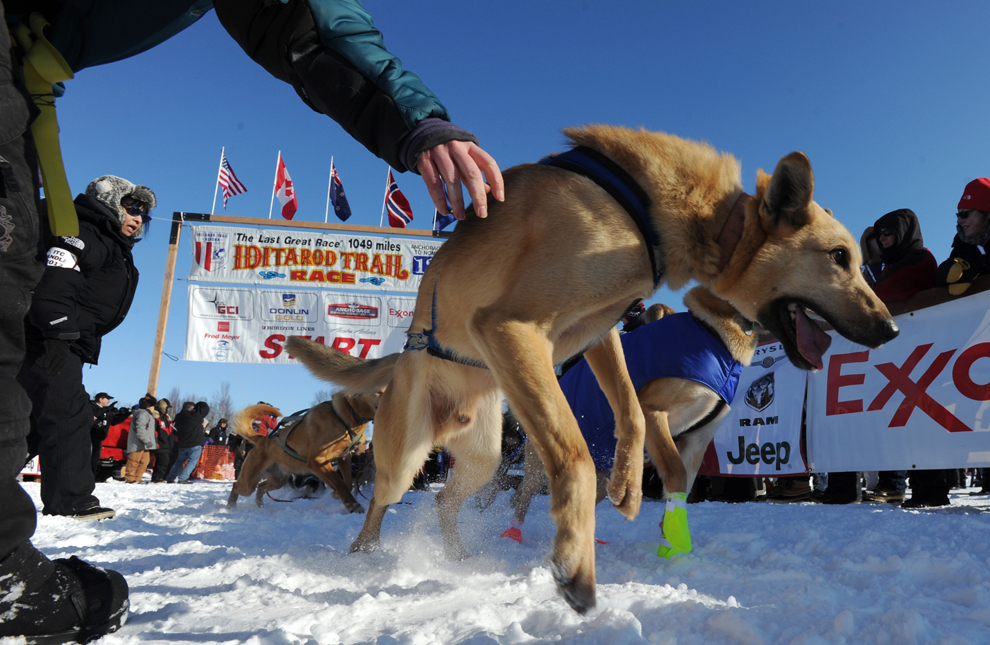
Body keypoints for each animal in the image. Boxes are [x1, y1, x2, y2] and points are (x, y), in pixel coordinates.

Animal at [227, 388, 382, 512]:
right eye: (379, 391)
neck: (349, 415)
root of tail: (263, 438)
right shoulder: (317, 462)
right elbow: (340, 484)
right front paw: (353, 506)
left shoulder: (344, 457)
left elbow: (347, 484)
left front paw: (337, 496)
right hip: (250, 482)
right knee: (237, 485)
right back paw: (231, 507)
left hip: (278, 480)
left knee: (261, 487)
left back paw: (261, 505)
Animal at [284, 126, 900, 612]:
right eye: (840, 257)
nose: (892, 329)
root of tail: (408, 354)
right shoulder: (511, 329)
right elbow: (576, 457)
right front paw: (575, 564)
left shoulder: (602, 332)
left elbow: (630, 412)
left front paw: (627, 486)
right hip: (405, 456)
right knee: (381, 502)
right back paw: (364, 553)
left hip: (482, 457)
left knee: (442, 500)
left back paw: (456, 554)